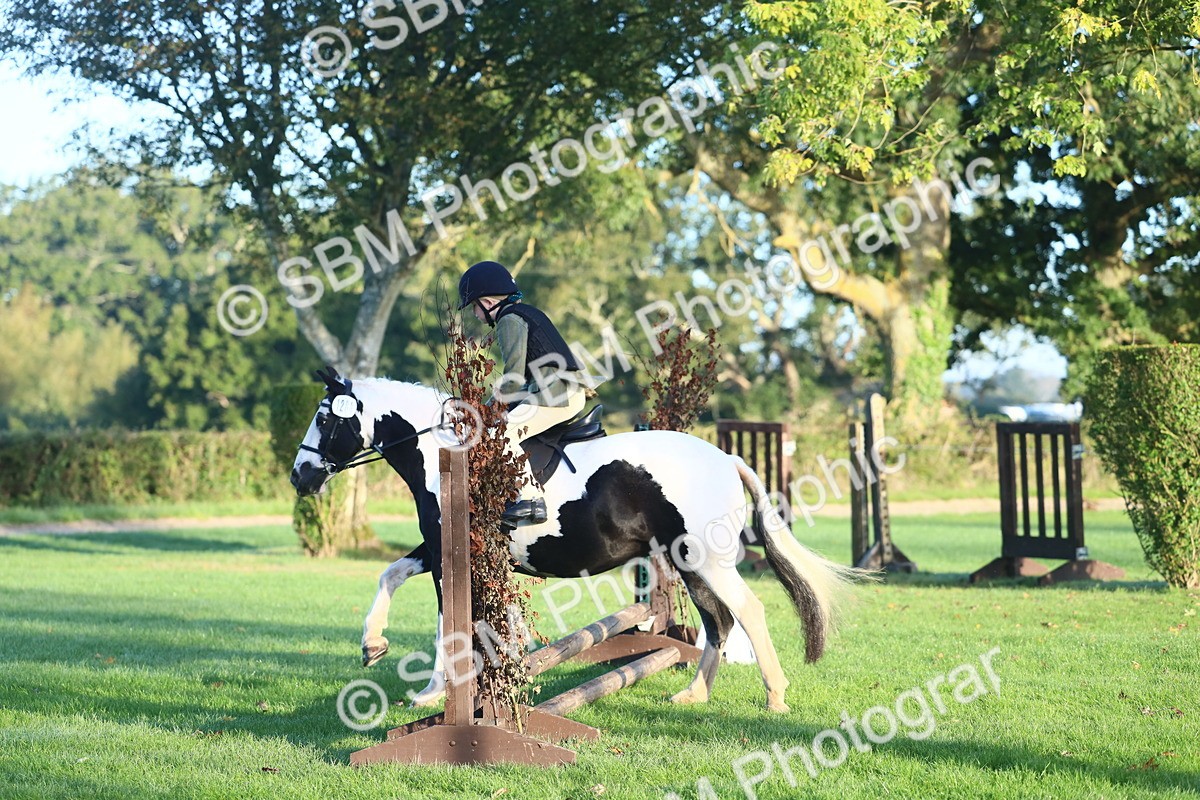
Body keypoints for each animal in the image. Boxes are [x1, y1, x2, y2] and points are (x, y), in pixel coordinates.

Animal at [290, 370, 857, 712]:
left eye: (323, 418)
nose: (300, 476)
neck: (442, 452)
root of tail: (727, 459)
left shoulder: (451, 554)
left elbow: (445, 624)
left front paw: (432, 692)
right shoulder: (437, 549)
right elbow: (391, 574)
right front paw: (375, 646)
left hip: (706, 559)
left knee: (748, 611)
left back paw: (775, 696)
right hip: (686, 562)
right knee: (718, 622)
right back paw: (692, 694)